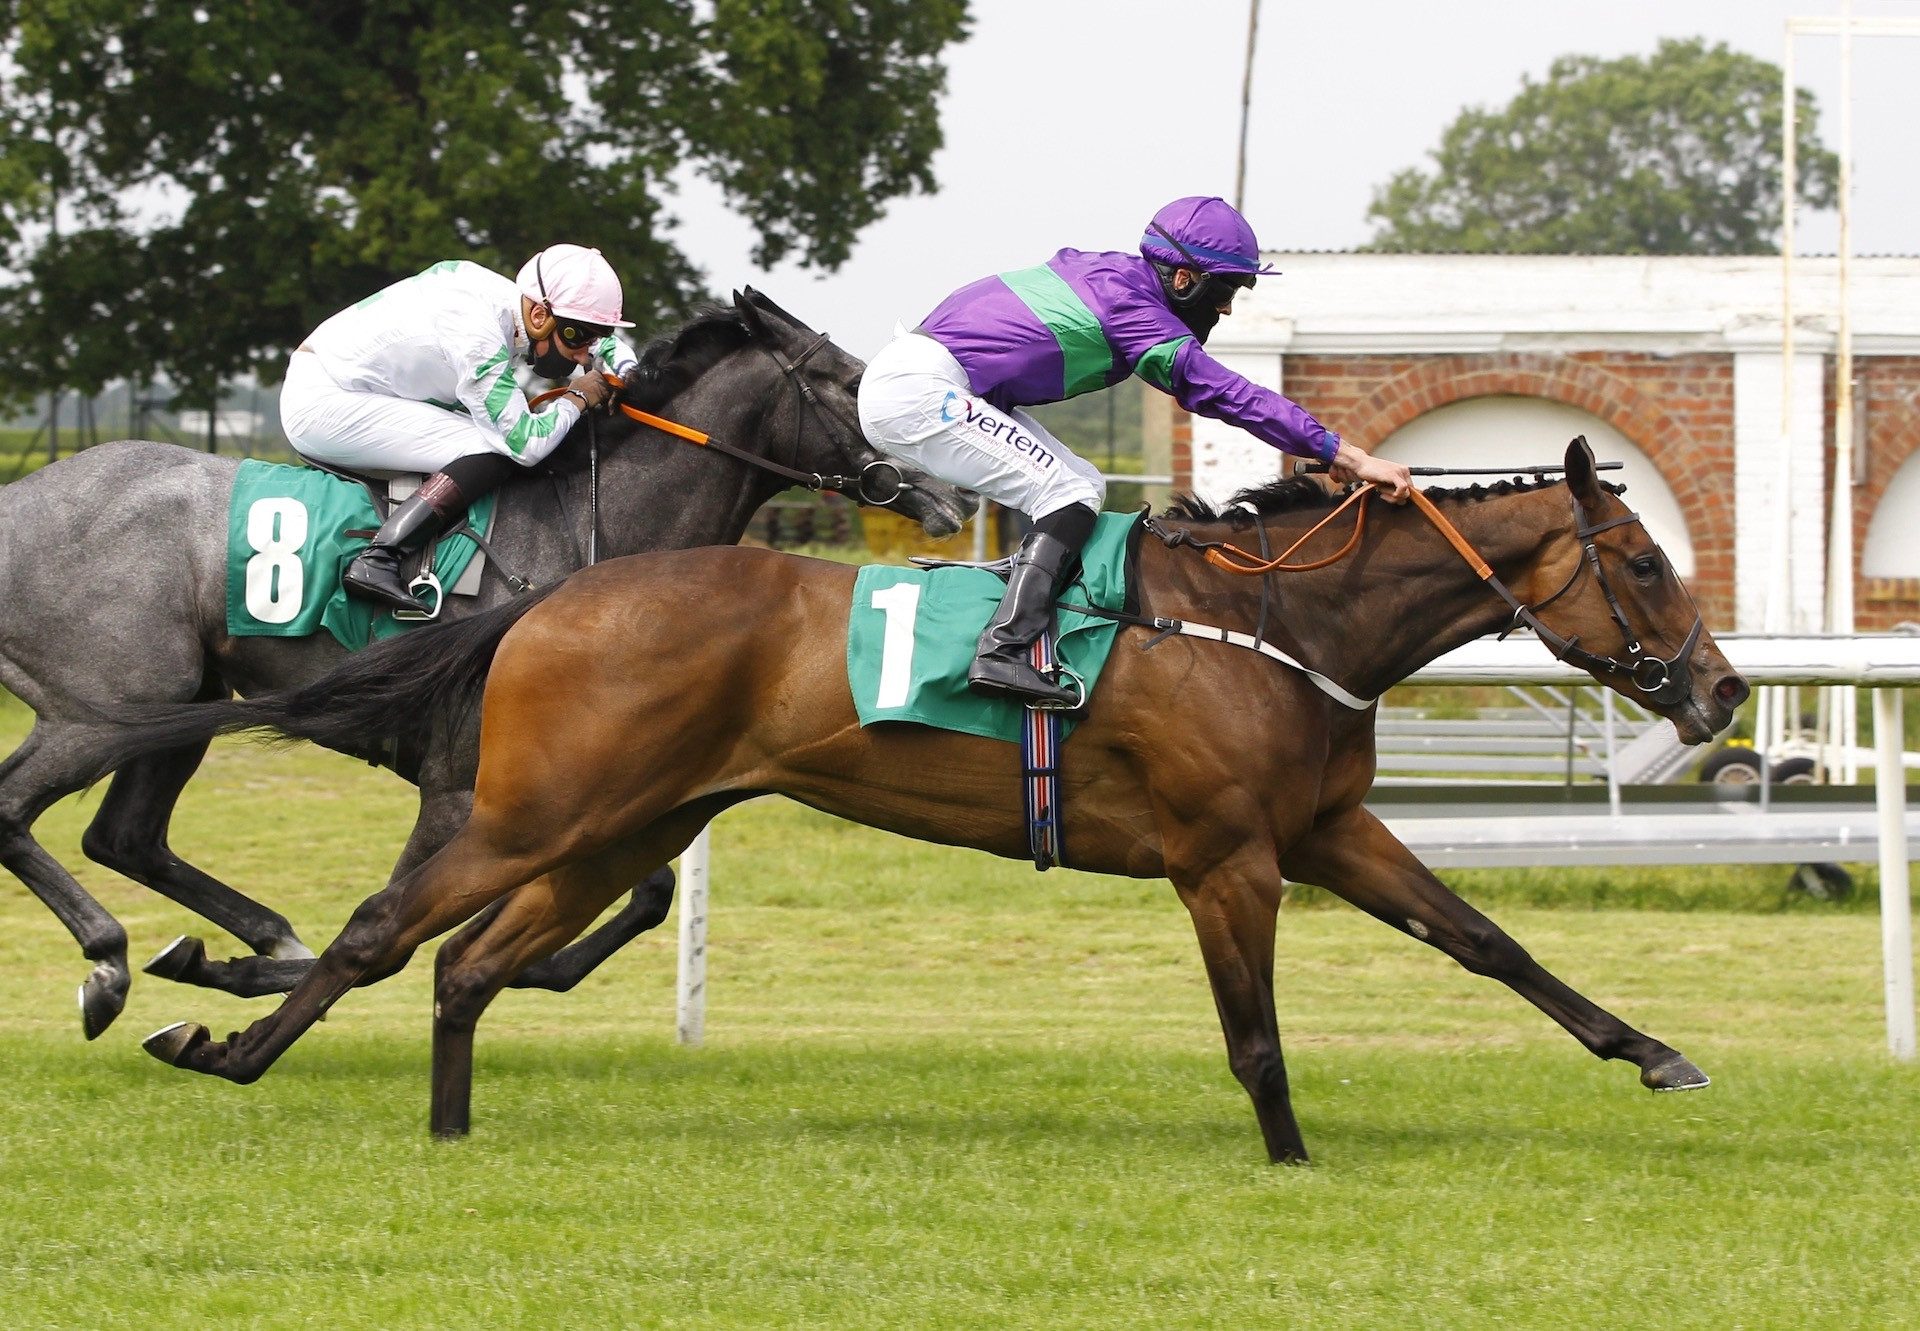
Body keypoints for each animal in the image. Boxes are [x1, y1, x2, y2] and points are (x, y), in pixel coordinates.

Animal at [0, 290, 975, 1037]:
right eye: (850, 382)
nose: (957, 494)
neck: (591, 530)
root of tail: (19, 497)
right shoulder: (457, 787)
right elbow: (389, 917)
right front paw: (244, 977)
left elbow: (645, 894)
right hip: (103, 707)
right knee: (18, 810)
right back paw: (111, 964)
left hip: (182, 703)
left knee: (124, 835)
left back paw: (251, 937)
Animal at [112, 437, 1751, 1160]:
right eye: (1643, 560)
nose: (1725, 693)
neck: (1284, 621)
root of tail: (552, 597)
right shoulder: (1228, 857)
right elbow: (1257, 1034)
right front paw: (1291, 1157)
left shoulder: (1327, 828)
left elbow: (1488, 939)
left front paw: (1656, 1051)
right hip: (535, 814)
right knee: (381, 929)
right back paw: (224, 1044)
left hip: (626, 823)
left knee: (466, 962)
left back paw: (451, 1125)